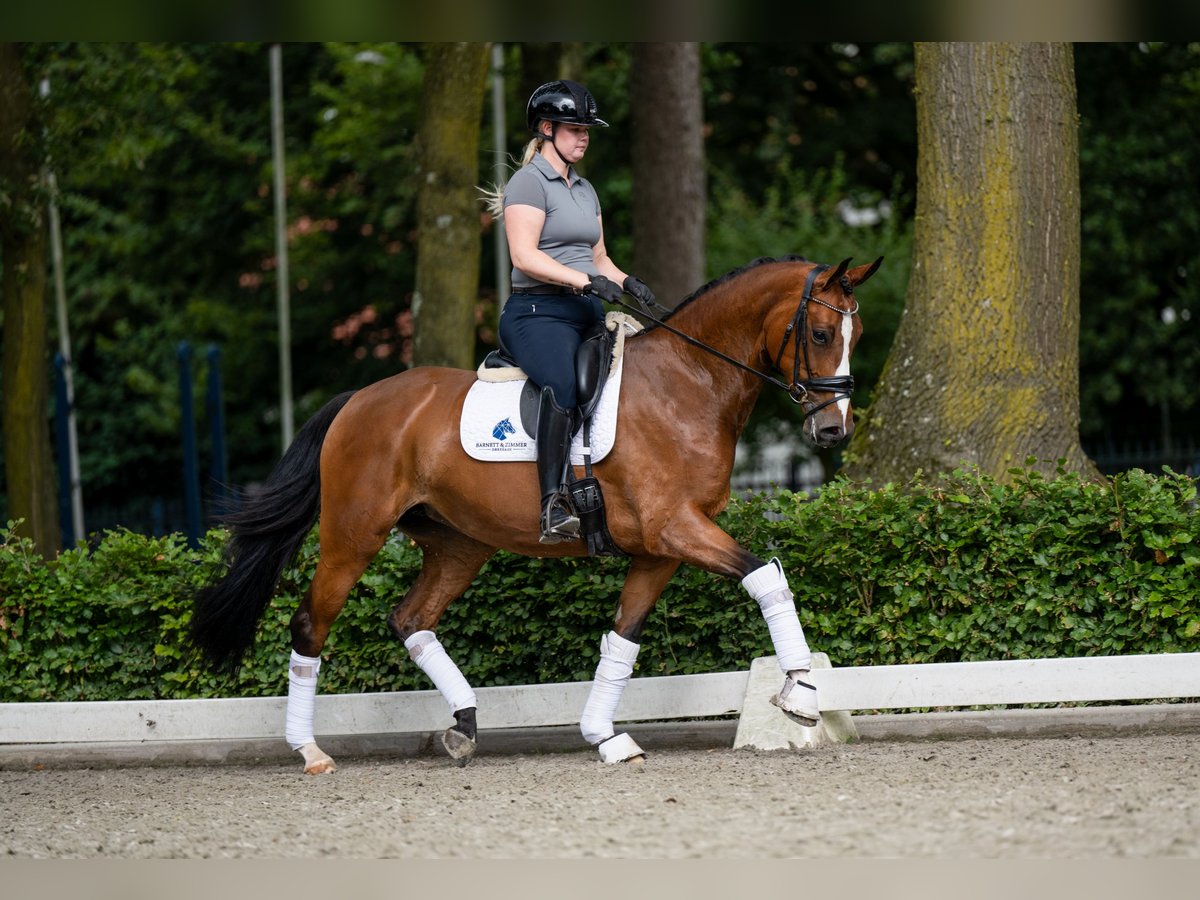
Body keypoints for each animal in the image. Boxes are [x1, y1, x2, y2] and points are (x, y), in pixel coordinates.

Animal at [189, 255, 883, 777]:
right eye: (821, 336)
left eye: (858, 337)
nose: (832, 431)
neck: (690, 383)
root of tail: (359, 399)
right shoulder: (675, 528)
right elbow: (765, 575)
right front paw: (800, 693)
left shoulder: (660, 548)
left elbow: (622, 638)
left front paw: (605, 736)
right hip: (352, 536)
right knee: (311, 624)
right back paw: (310, 751)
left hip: (460, 544)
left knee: (411, 618)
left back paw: (465, 726)